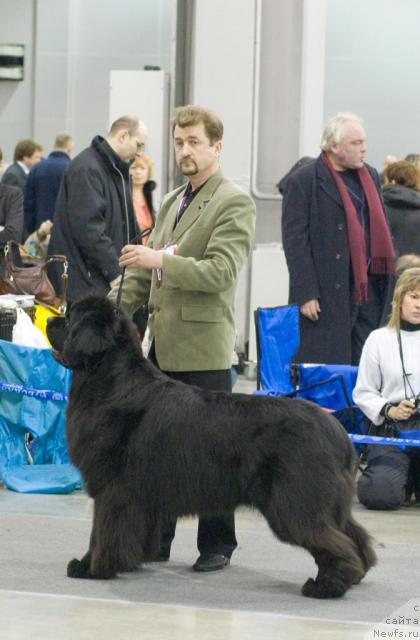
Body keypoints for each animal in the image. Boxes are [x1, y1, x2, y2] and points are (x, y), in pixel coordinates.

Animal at [47, 298, 376, 596]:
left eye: (70, 316)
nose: (50, 320)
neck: (110, 381)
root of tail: (339, 432)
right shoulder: (140, 494)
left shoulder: (113, 489)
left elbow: (102, 532)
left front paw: (91, 567)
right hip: (327, 502)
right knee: (352, 533)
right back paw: (356, 574)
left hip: (294, 501)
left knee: (331, 540)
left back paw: (327, 586)